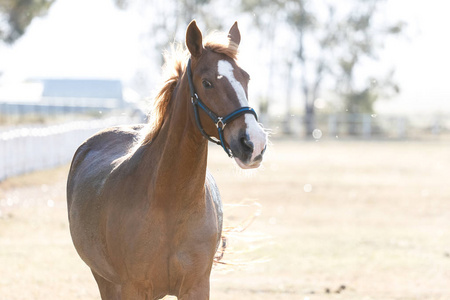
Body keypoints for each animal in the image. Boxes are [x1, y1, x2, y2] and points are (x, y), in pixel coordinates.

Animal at [67, 19, 268, 298]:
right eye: (207, 83)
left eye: (245, 78)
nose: (253, 143)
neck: (170, 204)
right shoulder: (133, 288)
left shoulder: (196, 286)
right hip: (105, 281)